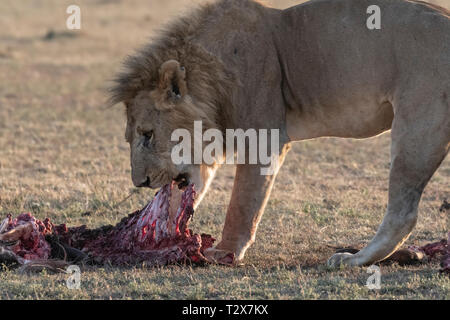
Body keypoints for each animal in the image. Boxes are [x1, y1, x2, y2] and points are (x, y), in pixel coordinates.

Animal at [110, 0, 450, 268]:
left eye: (147, 134)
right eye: (130, 137)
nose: (140, 182)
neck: (214, 74)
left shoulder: (264, 137)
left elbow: (243, 202)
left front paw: (225, 252)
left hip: (416, 129)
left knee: (403, 213)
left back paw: (354, 259)